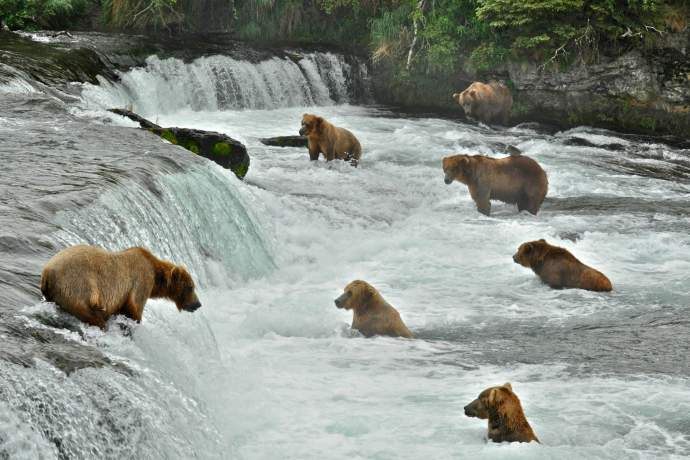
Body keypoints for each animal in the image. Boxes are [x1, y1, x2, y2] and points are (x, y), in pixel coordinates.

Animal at [40, 244, 200, 328]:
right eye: (191, 287)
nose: (198, 304)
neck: (155, 275)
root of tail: (47, 273)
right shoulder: (141, 281)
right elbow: (134, 309)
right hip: (79, 287)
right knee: (93, 315)